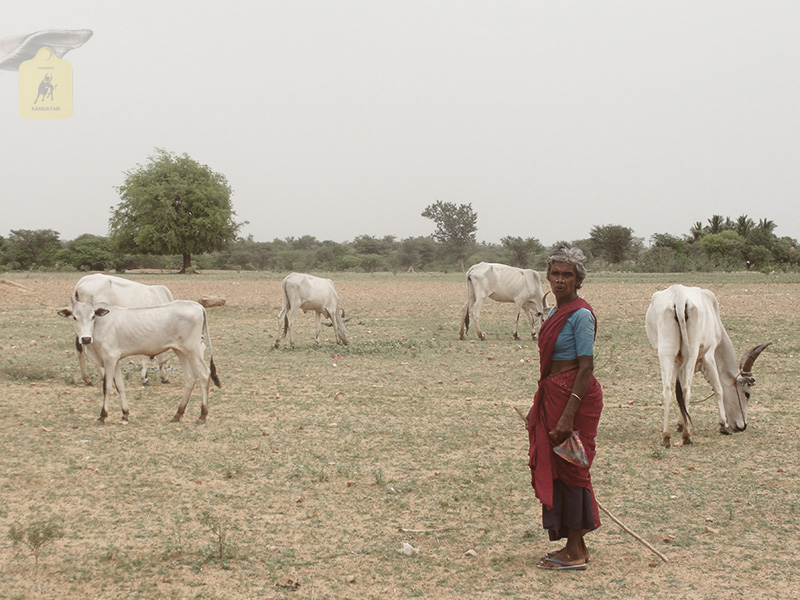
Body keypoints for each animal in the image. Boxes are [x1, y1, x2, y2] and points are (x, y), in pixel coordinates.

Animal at [57, 298, 222, 422]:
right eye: (74, 317)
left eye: (92, 316)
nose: (85, 339)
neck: (98, 326)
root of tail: (197, 305)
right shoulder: (116, 360)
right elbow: (120, 386)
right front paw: (125, 413)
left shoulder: (109, 359)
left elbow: (107, 387)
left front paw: (103, 416)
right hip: (181, 351)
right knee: (190, 378)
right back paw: (178, 414)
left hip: (193, 350)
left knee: (204, 375)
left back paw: (202, 415)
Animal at [644, 284, 768, 448]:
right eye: (747, 394)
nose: (742, 426)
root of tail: (679, 297)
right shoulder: (709, 356)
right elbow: (719, 389)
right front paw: (723, 425)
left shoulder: (679, 362)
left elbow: (678, 393)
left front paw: (680, 424)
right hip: (691, 353)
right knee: (687, 390)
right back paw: (687, 437)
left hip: (666, 353)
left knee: (668, 391)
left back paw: (666, 437)